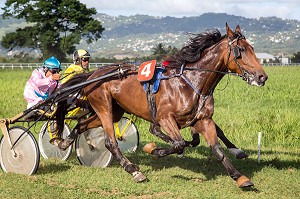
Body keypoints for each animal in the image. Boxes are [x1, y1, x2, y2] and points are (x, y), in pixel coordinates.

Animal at [55, 22, 268, 187]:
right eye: (241, 50)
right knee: (110, 142)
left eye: (252, 48)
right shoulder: (165, 118)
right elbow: (179, 143)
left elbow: (216, 147)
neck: (190, 82)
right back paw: (133, 170)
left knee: (82, 124)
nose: (262, 76)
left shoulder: (203, 119)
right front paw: (154, 150)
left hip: (114, 110)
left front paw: (239, 176)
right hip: (104, 107)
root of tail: (94, 74)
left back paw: (64, 142)